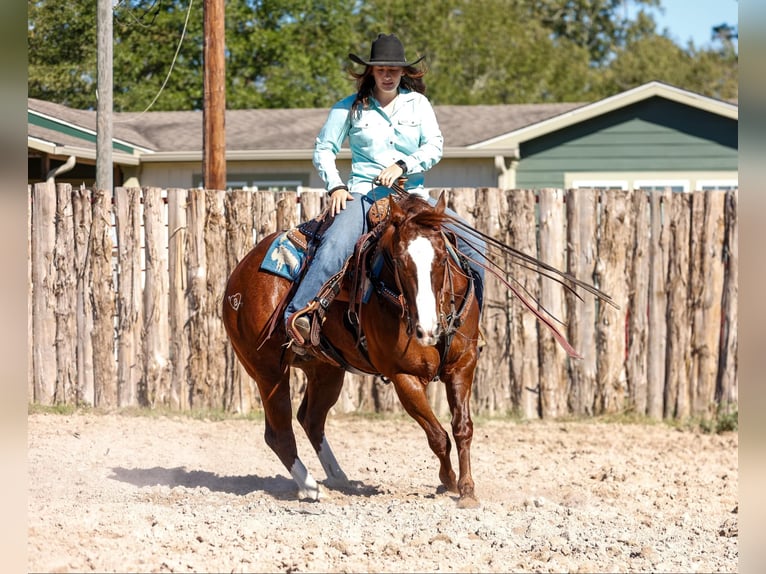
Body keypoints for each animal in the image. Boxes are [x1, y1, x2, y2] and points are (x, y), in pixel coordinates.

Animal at [224, 194, 486, 508]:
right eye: (398, 261)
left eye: (443, 257)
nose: (427, 329)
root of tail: (238, 275)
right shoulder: (404, 377)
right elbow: (437, 435)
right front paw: (448, 481)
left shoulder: (463, 364)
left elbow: (462, 428)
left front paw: (467, 490)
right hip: (268, 372)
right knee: (279, 434)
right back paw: (312, 489)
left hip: (325, 371)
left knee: (311, 420)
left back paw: (339, 479)